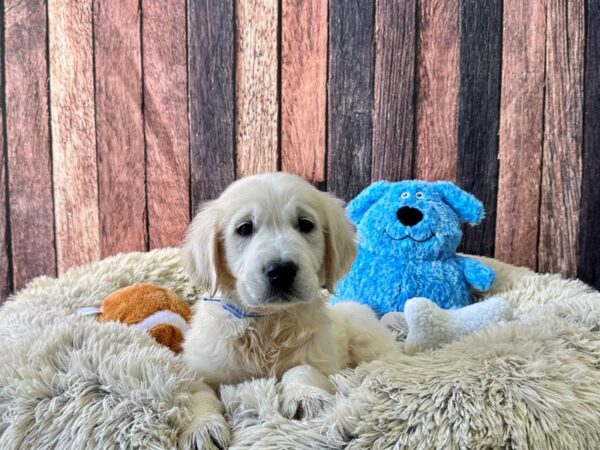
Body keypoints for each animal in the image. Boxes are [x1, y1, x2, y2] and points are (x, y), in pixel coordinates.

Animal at [180, 173, 396, 450]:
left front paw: (306, 397)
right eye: (244, 228)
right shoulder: (200, 369)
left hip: (364, 334)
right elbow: (199, 395)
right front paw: (201, 428)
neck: (267, 321)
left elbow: (301, 370)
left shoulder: (320, 357)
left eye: (305, 224)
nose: (281, 271)